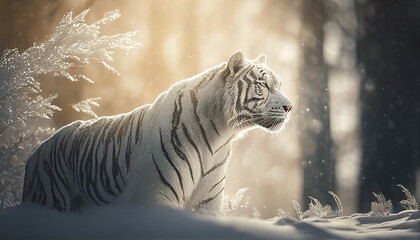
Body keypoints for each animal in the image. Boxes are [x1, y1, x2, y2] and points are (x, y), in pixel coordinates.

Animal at [22, 52, 292, 212]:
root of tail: (37, 150)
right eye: (263, 85)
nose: (290, 107)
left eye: (279, 84)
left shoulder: (207, 202)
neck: (220, 136)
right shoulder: (157, 195)